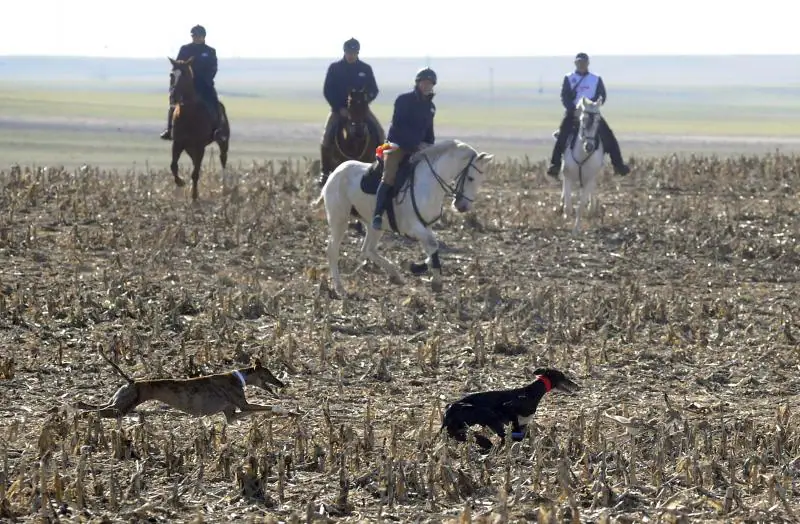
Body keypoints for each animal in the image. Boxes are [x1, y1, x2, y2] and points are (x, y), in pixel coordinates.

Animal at [167, 56, 230, 201]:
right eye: (171, 74)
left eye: (185, 74)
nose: (173, 97)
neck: (189, 113)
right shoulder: (177, 143)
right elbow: (173, 165)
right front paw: (181, 182)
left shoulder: (200, 146)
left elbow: (195, 172)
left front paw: (194, 196)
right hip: (189, 148)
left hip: (223, 142)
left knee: (223, 159)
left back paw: (224, 189)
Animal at [312, 138, 494, 294]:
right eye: (470, 178)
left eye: (480, 180)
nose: (463, 206)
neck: (429, 183)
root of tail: (334, 174)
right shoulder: (413, 227)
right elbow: (432, 245)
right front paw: (436, 281)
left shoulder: (426, 226)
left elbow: (431, 248)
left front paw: (419, 267)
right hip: (339, 220)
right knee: (333, 250)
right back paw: (340, 288)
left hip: (374, 225)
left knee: (368, 249)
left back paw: (395, 275)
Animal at [440, 368, 580, 450]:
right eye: (562, 376)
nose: (577, 386)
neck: (532, 392)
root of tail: (448, 411)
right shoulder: (508, 408)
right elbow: (515, 430)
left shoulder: (523, 423)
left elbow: (524, 433)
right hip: (486, 413)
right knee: (500, 434)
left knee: (458, 433)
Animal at [560, 95, 604, 233]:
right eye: (582, 119)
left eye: (598, 121)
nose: (589, 146)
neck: (582, 155)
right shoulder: (568, 177)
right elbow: (568, 206)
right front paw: (565, 218)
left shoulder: (589, 179)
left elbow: (580, 207)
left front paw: (575, 230)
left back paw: (591, 208)